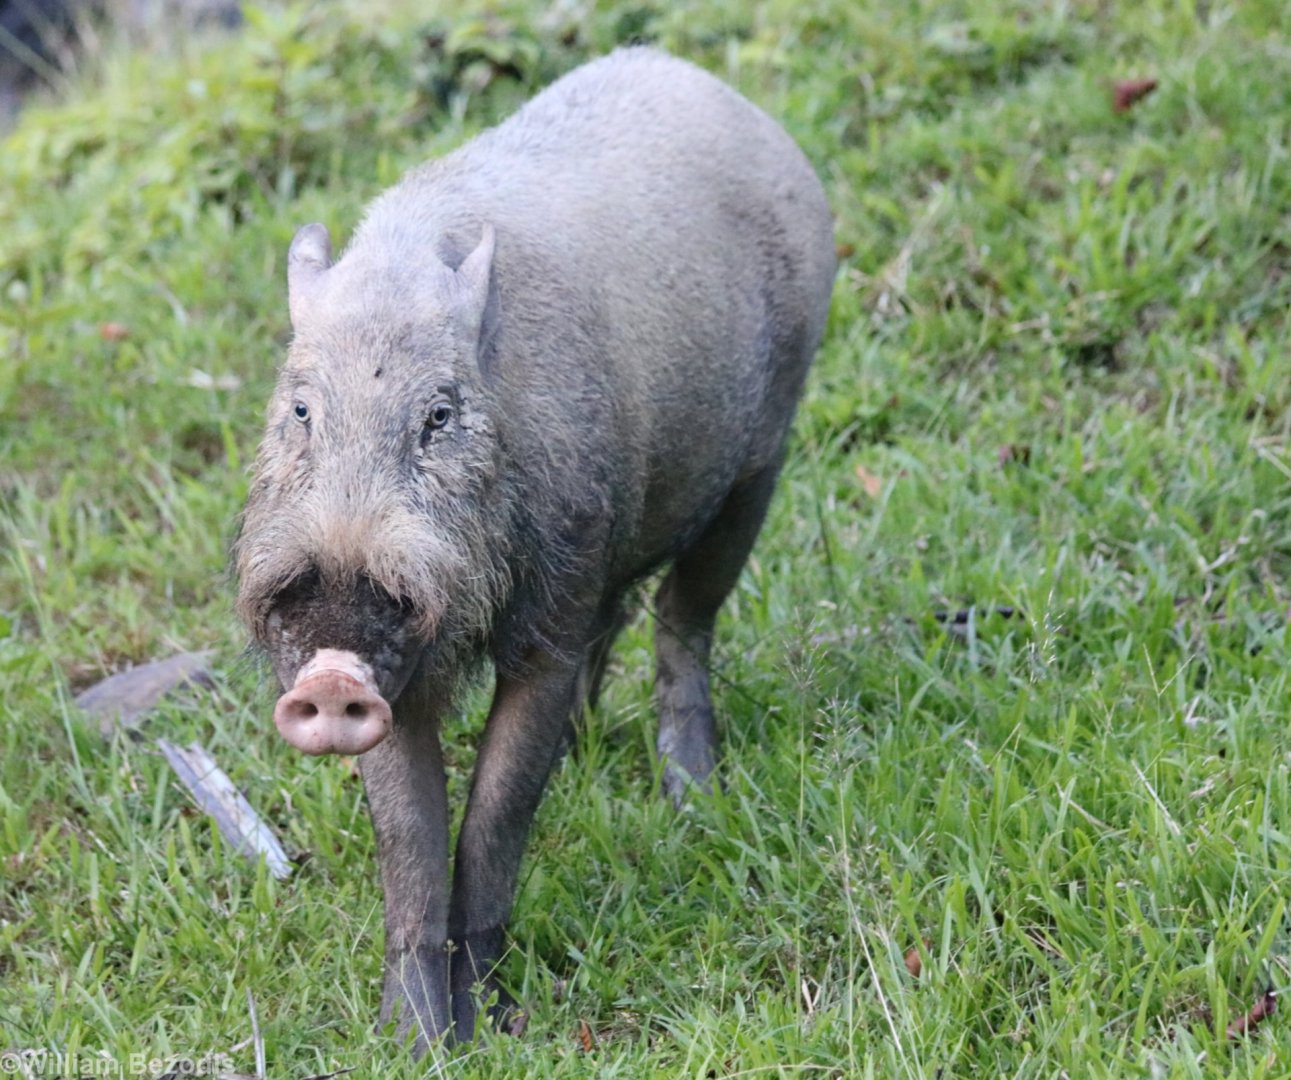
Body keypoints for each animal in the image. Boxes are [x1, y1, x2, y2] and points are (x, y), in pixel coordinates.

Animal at [233, 46, 835, 1051]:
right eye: (301, 408)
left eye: (439, 415)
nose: (330, 679)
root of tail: (709, 84)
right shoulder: (405, 672)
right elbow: (409, 842)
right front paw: (413, 1046)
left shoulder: (544, 624)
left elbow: (496, 814)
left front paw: (487, 1028)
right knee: (624, 616)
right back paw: (595, 756)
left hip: (762, 457)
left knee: (683, 618)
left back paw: (690, 797)